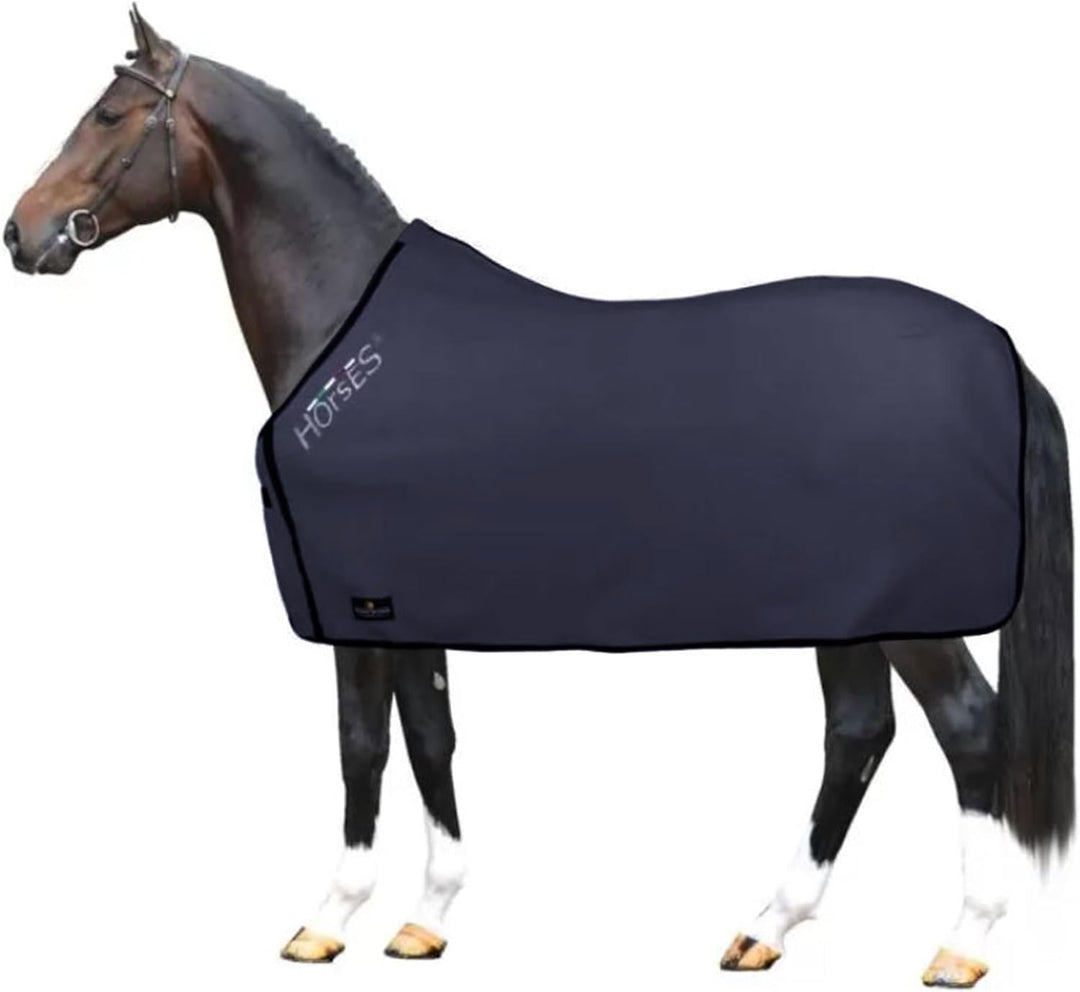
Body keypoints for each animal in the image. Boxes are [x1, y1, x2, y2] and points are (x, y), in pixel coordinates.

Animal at [5, 9, 1072, 987]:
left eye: (108, 116)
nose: (23, 233)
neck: (348, 325)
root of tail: (1001, 352)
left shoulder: (354, 605)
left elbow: (362, 745)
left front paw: (329, 919)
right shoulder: (403, 605)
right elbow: (430, 738)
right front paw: (426, 917)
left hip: (912, 615)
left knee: (968, 728)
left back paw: (962, 943)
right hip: (848, 612)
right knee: (859, 734)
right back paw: (766, 927)